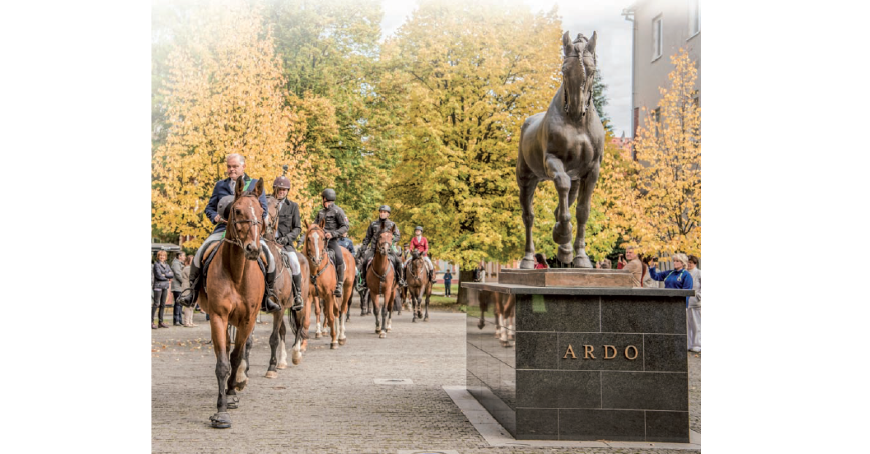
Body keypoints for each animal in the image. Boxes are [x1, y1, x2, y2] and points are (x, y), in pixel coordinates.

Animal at [198, 176, 266, 430]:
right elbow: (223, 363)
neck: (237, 272)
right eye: (237, 211)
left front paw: (231, 392)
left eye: (261, 211)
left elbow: (237, 358)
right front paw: (221, 411)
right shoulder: (218, 317)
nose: (253, 249)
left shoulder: (248, 319)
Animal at [304, 222, 356, 350]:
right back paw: (337, 334)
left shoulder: (328, 295)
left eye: (323, 238)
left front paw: (333, 341)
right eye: (308, 238)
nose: (316, 260)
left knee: (342, 309)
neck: (316, 270)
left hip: (347, 288)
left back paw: (341, 336)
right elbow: (312, 315)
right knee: (336, 311)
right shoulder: (311, 295)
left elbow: (331, 316)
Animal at [516, 30, 608, 268]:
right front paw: (562, 233)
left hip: (576, 179)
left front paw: (579, 256)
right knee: (529, 216)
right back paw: (528, 258)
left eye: (591, 70)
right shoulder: (553, 161)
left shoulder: (591, 171)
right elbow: (562, 185)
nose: (576, 108)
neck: (577, 125)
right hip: (527, 180)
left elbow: (582, 211)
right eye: (564, 69)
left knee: (564, 202)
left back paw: (564, 250)